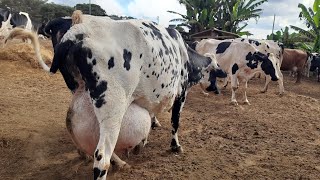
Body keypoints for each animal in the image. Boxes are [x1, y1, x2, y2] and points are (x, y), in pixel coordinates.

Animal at [6, 13, 222, 179]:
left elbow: (151, 118)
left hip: (81, 93)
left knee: (76, 128)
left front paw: (141, 143)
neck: (184, 52)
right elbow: (175, 122)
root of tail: (79, 31)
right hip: (113, 106)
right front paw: (175, 146)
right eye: (214, 69)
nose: (216, 88)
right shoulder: (181, 93)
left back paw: (113, 160)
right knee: (102, 157)